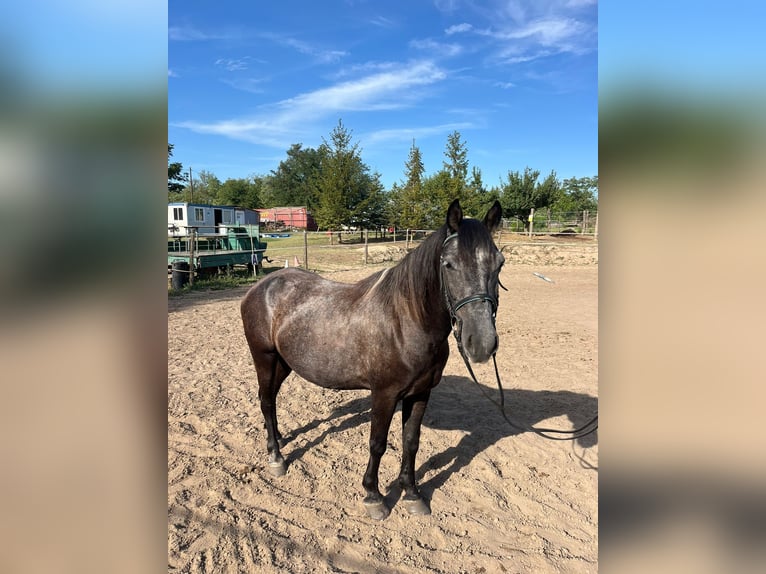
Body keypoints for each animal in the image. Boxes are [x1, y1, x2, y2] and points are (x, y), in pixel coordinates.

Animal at [240, 199, 505, 520]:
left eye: (500, 263)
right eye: (449, 264)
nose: (482, 343)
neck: (406, 322)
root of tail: (263, 285)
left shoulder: (421, 393)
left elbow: (411, 441)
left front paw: (412, 493)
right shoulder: (384, 394)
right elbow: (377, 444)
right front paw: (374, 496)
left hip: (284, 362)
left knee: (271, 399)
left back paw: (278, 438)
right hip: (264, 357)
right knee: (266, 401)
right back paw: (276, 457)